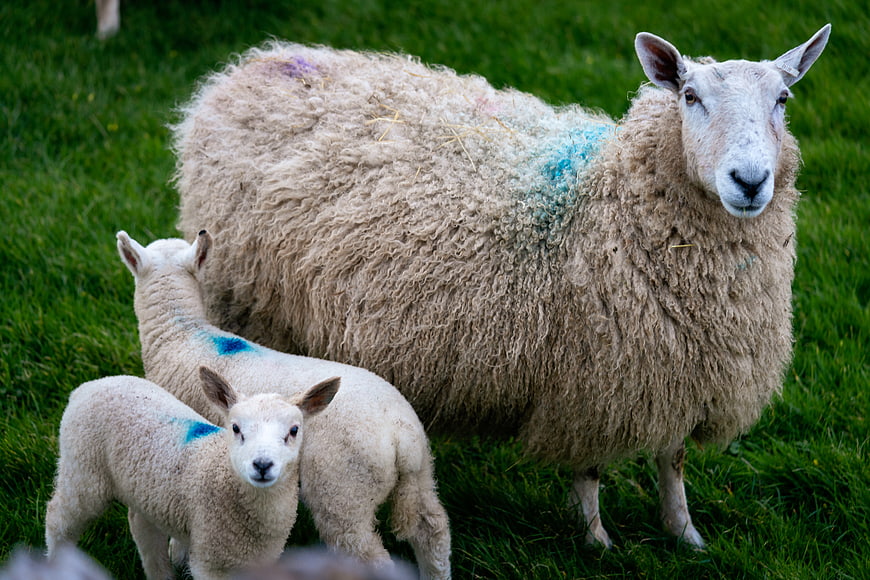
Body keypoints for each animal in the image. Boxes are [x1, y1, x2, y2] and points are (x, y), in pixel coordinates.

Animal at [44, 368, 339, 580]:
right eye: (235, 428)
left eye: (294, 430)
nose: (262, 465)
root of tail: (88, 386)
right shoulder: (210, 562)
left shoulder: (263, 561)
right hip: (83, 467)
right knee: (58, 518)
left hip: (144, 488)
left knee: (141, 525)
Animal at [115, 230, 451, 579]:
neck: (180, 332)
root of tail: (400, 435)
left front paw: (178, 553)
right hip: (421, 474)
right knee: (433, 530)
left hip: (344, 488)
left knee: (367, 552)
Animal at [169, 26, 831, 548]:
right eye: (691, 97)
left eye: (783, 97)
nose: (750, 180)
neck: (608, 200)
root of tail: (252, 66)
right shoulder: (592, 380)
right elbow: (590, 470)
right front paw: (597, 541)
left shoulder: (679, 371)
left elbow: (674, 459)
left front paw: (685, 535)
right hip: (242, 300)